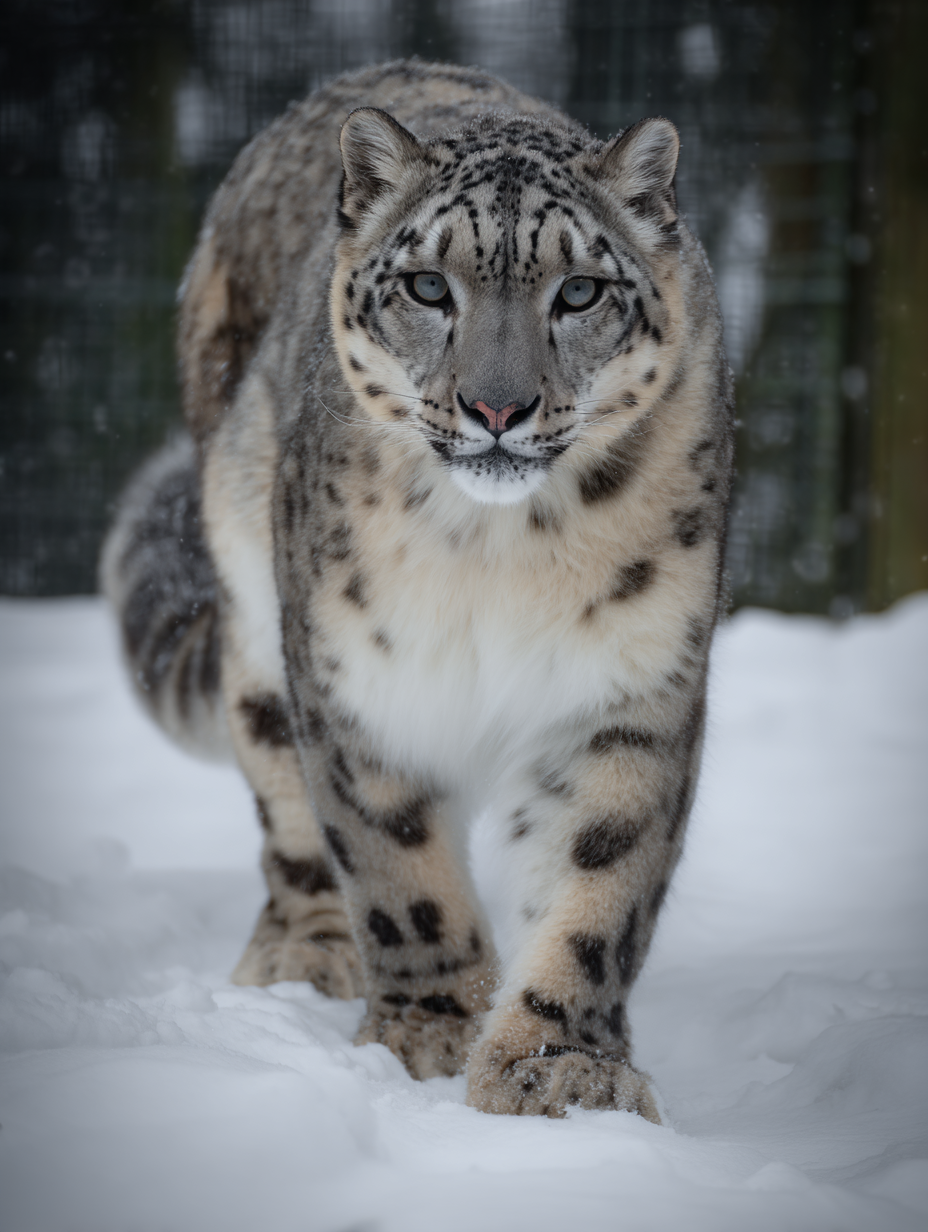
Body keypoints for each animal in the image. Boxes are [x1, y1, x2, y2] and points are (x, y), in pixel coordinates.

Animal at [102, 59, 733, 1121]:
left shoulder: (633, 685)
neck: (501, 558)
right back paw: (305, 955)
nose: (497, 407)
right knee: (285, 804)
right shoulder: (357, 676)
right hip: (255, 622)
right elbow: (398, 866)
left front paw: (561, 1069)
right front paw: (431, 1029)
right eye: (429, 286)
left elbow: (602, 879)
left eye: (580, 291)